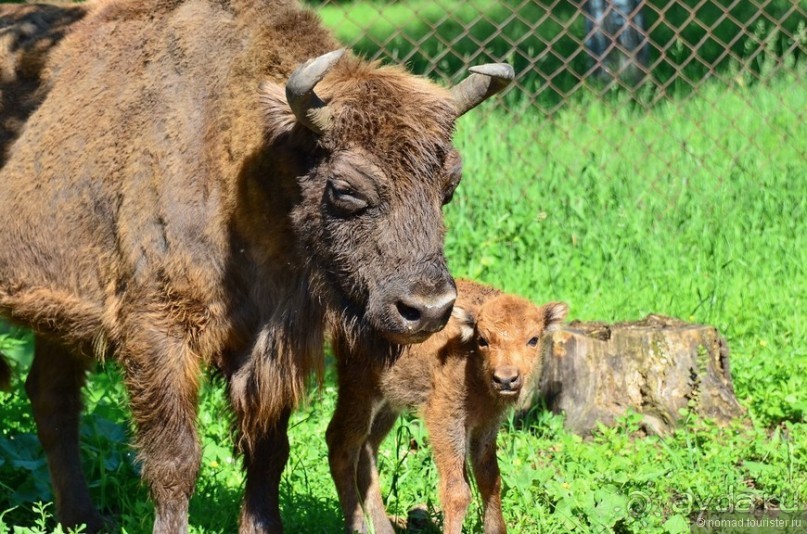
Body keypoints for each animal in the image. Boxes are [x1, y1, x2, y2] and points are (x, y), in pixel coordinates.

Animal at [0, 0, 512, 532]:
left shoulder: (268, 343)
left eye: (449, 184)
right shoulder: (157, 334)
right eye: (345, 190)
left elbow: (268, 449)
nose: (428, 309)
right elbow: (175, 459)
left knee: (52, 397)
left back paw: (83, 518)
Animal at [326, 280, 568, 534]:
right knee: (342, 442)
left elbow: (490, 479)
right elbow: (458, 491)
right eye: (482, 340)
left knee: (367, 448)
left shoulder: (486, 425)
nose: (505, 379)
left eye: (533, 339)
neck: (472, 362)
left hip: (388, 402)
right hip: (360, 389)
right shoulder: (445, 419)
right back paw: (359, 526)